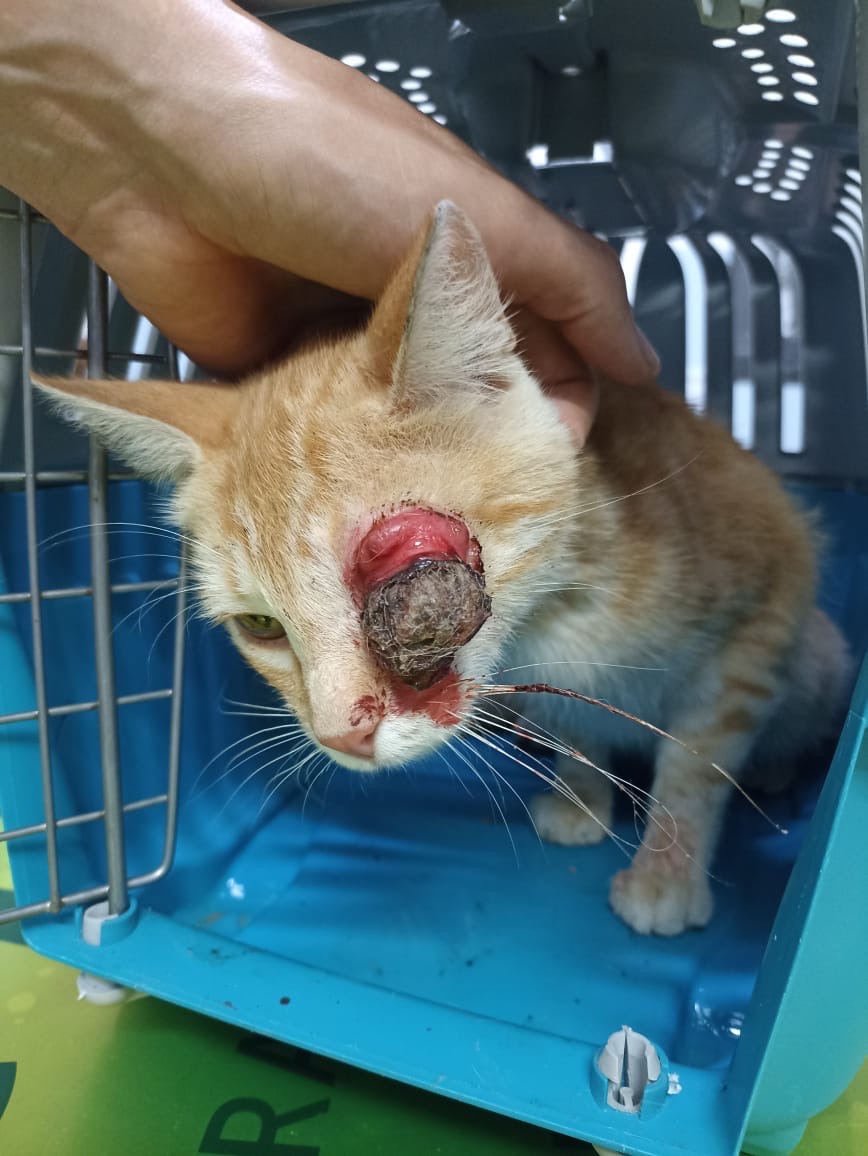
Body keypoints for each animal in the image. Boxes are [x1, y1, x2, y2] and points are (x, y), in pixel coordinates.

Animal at [38, 201, 850, 936]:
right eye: (261, 624)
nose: (338, 737)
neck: (556, 618)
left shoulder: (767, 594)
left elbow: (698, 765)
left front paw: (666, 872)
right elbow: (581, 730)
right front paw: (581, 795)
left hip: (817, 656)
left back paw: (774, 770)